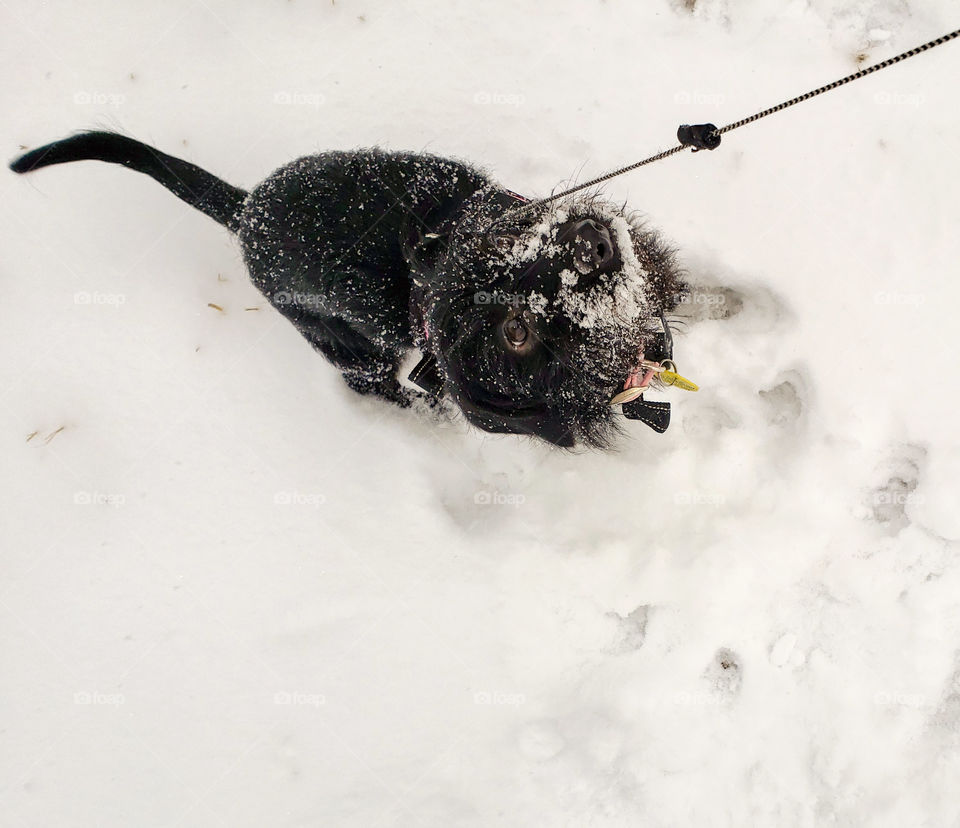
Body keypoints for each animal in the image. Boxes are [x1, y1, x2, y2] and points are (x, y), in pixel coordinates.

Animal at [7, 131, 684, 446]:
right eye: (515, 331)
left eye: (506, 231)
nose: (588, 241)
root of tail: (245, 210)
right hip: (351, 346)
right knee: (374, 385)